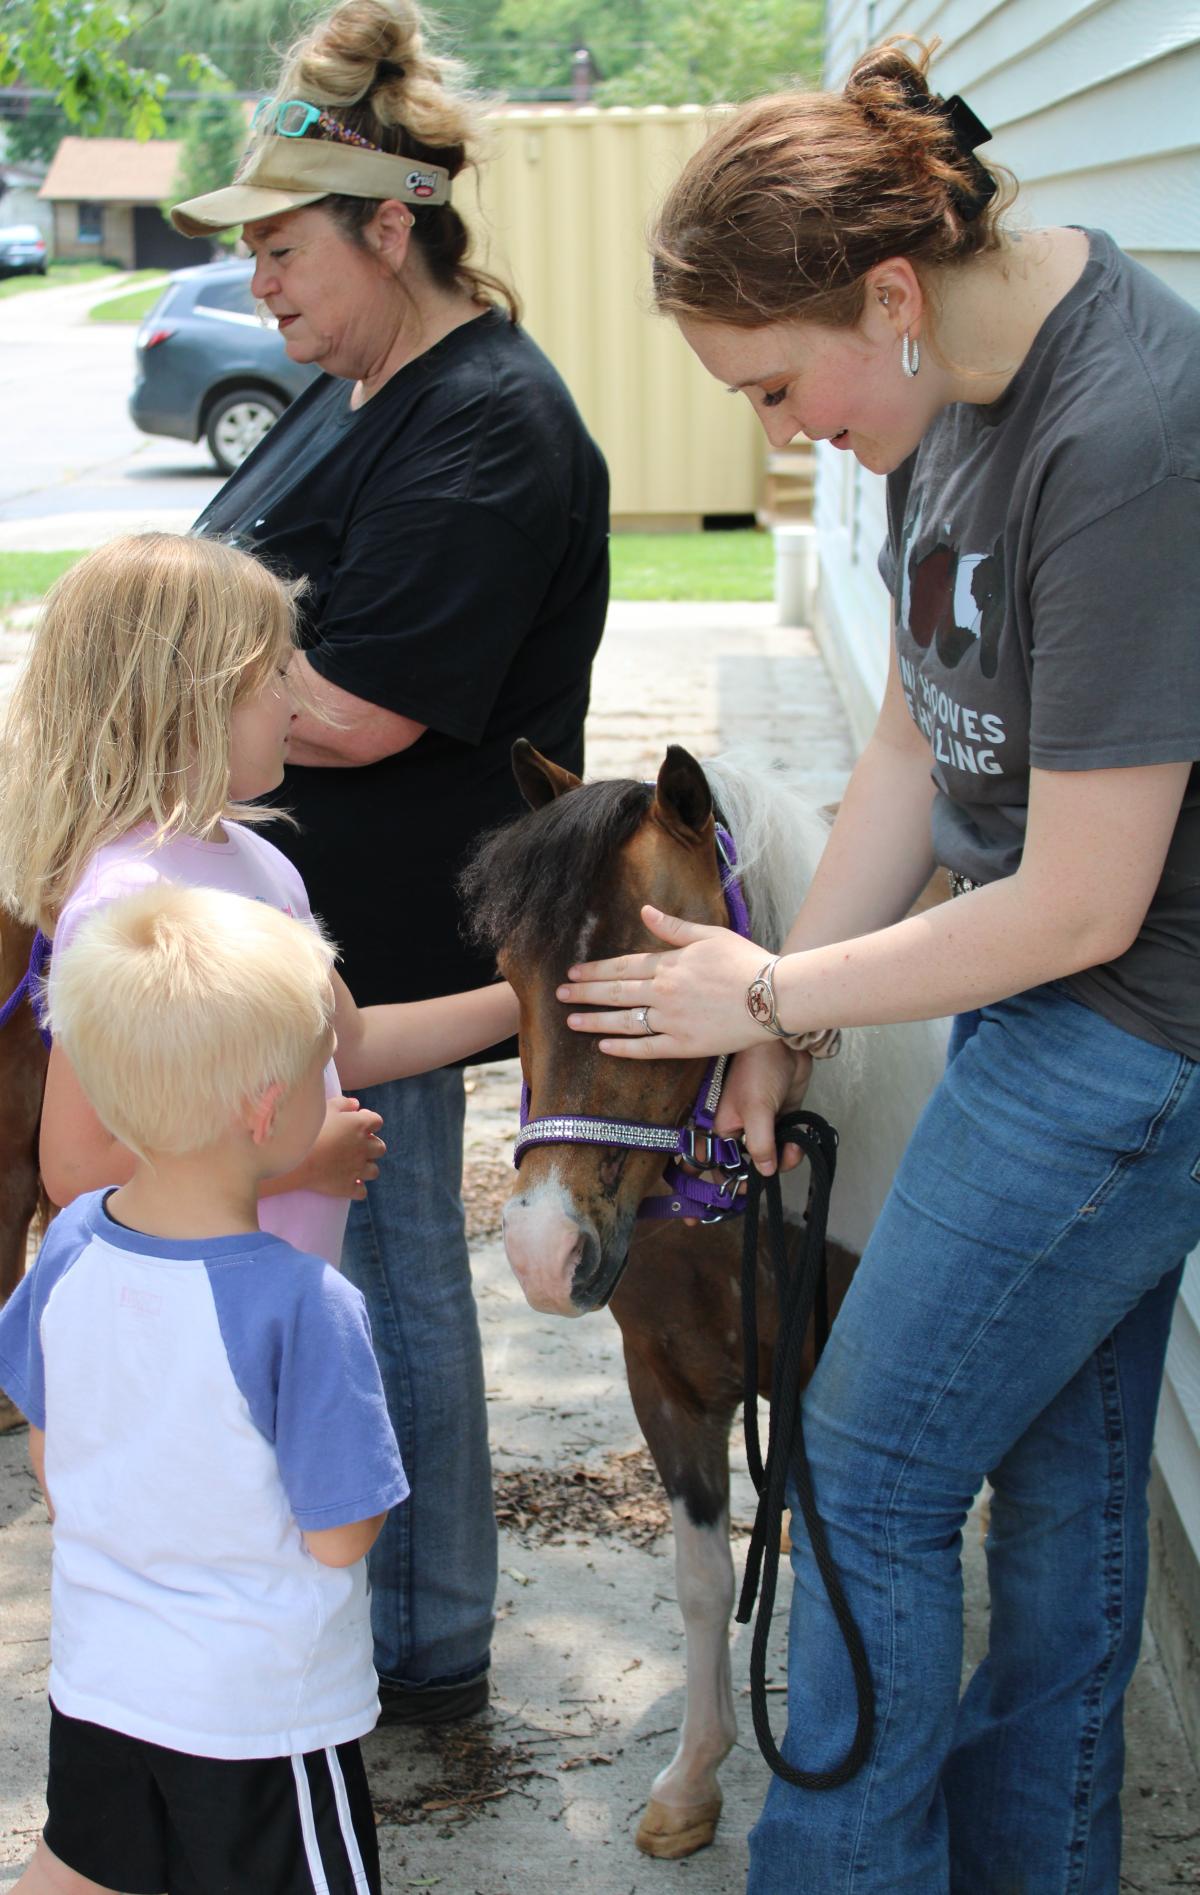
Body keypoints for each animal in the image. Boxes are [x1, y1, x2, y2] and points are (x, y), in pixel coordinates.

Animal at [458, 742, 944, 1864]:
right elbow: (706, 1579)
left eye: (653, 993)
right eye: (510, 975)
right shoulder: (669, 1383)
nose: (544, 1251)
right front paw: (692, 1781)